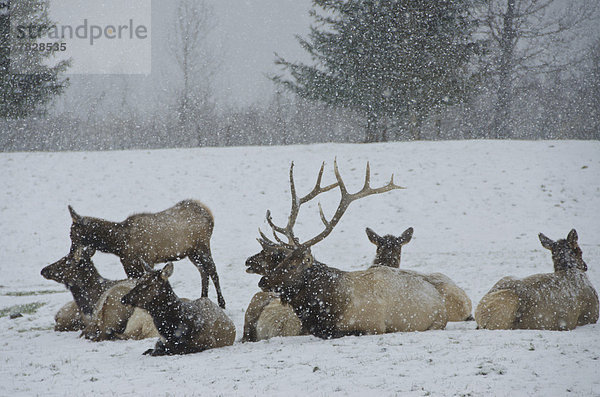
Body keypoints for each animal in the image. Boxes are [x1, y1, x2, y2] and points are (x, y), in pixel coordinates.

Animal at [65, 200, 225, 308]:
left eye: (73, 235)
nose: (71, 256)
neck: (119, 245)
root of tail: (209, 213)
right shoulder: (129, 266)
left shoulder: (147, 259)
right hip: (191, 252)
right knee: (203, 272)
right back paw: (203, 298)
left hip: (203, 246)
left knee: (213, 271)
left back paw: (221, 303)